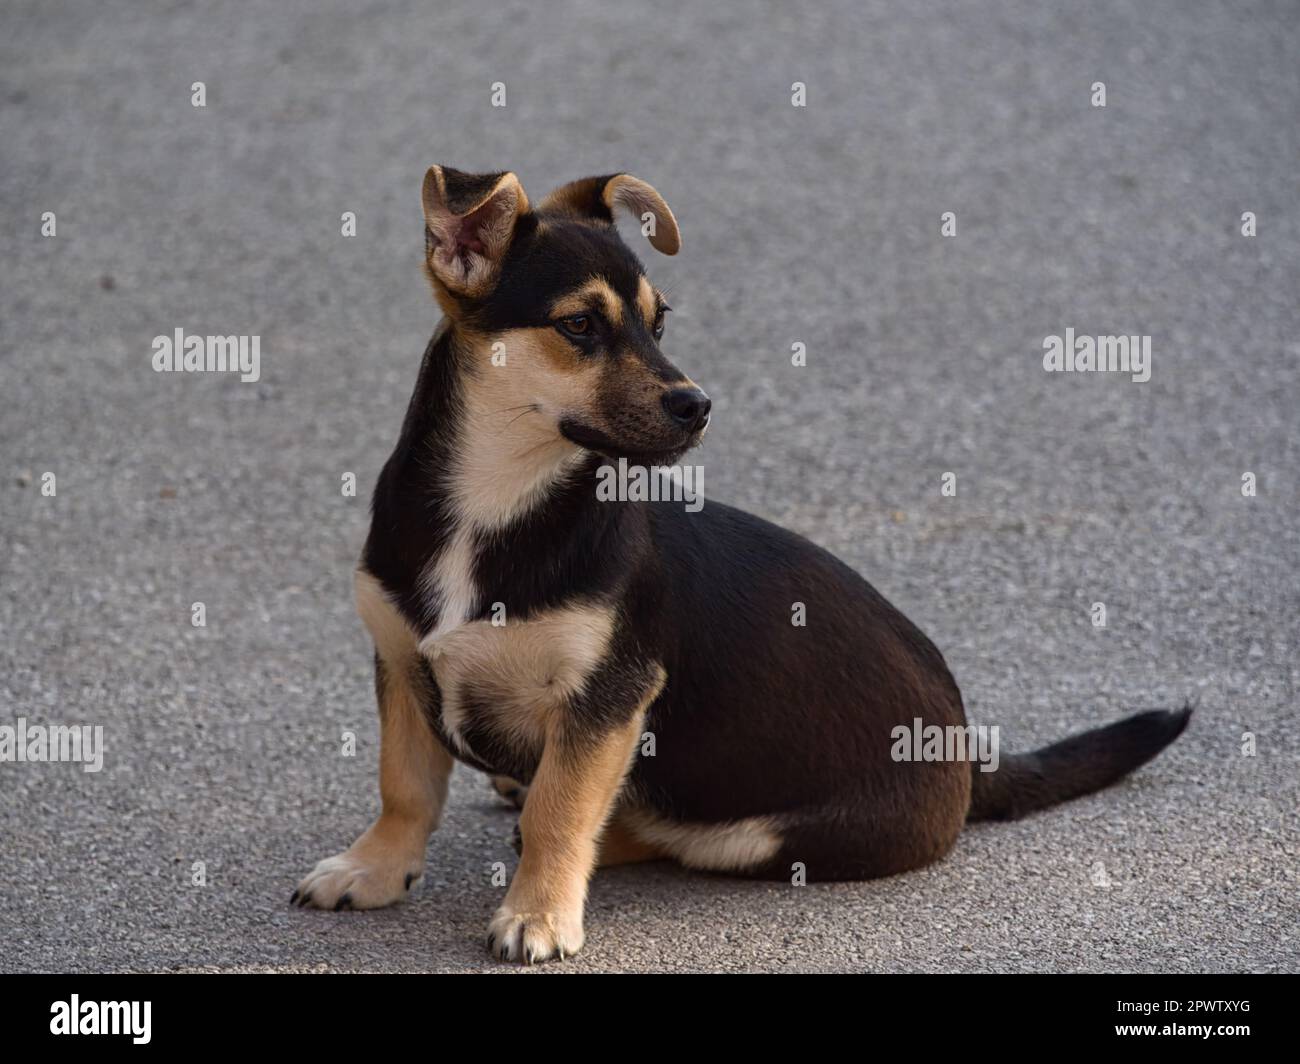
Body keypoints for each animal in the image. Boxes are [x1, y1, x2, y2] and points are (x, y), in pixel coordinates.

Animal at [289, 165, 1190, 962]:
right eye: (579, 326)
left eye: (660, 321)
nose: (698, 405)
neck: (499, 500)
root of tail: (969, 756)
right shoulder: (402, 659)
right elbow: (405, 784)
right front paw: (373, 869)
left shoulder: (609, 694)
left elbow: (561, 810)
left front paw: (538, 914)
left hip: (758, 835)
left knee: (637, 827)